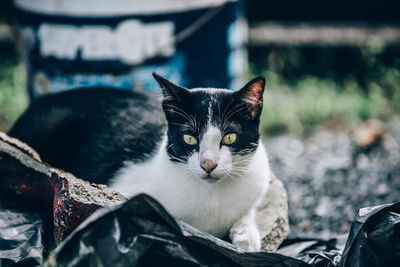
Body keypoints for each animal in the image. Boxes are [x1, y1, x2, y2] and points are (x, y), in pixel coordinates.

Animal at [10, 73, 272, 253]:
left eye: (229, 137)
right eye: (189, 138)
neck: (211, 197)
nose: (208, 164)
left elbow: (246, 211)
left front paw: (246, 236)